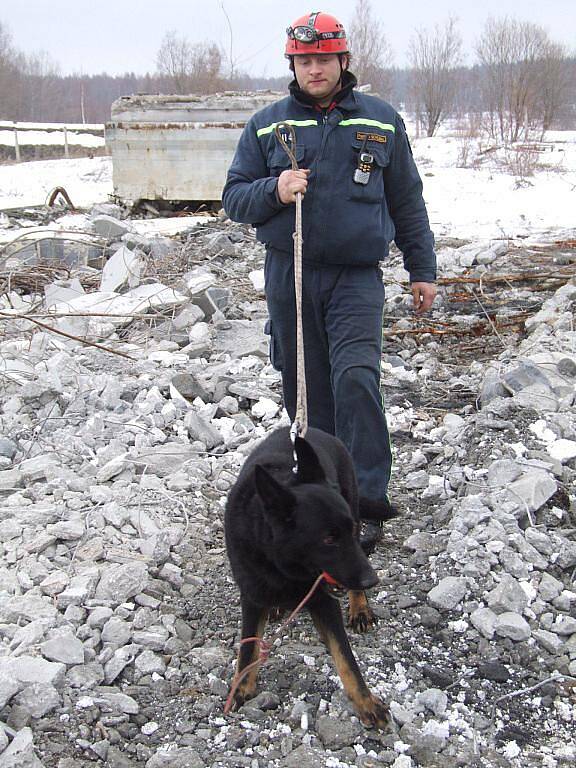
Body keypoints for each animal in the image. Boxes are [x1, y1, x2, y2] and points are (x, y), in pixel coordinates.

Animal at [225, 428, 392, 728]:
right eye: (328, 539)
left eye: (347, 531)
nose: (371, 580)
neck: (280, 565)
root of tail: (317, 431)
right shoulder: (252, 597)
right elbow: (248, 647)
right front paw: (242, 687)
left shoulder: (324, 602)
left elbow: (346, 659)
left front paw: (366, 702)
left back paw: (359, 607)